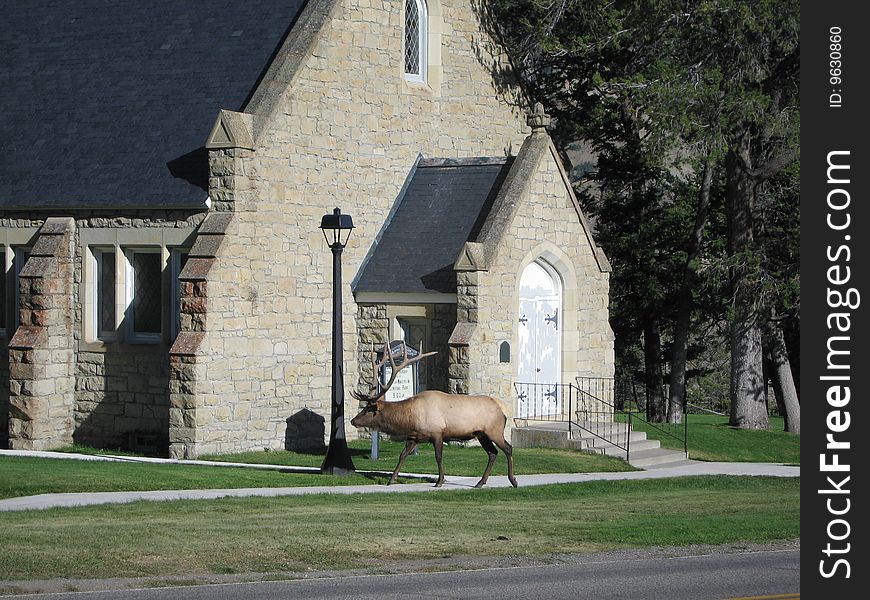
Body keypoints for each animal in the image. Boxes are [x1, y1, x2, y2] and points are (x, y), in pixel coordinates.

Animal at [350, 342, 516, 488]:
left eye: (369, 409)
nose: (353, 421)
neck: (410, 419)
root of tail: (503, 410)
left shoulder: (437, 433)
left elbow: (438, 456)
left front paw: (439, 481)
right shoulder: (414, 436)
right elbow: (402, 455)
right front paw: (391, 480)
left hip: (494, 430)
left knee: (508, 448)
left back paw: (513, 481)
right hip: (481, 434)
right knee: (493, 453)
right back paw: (481, 482)